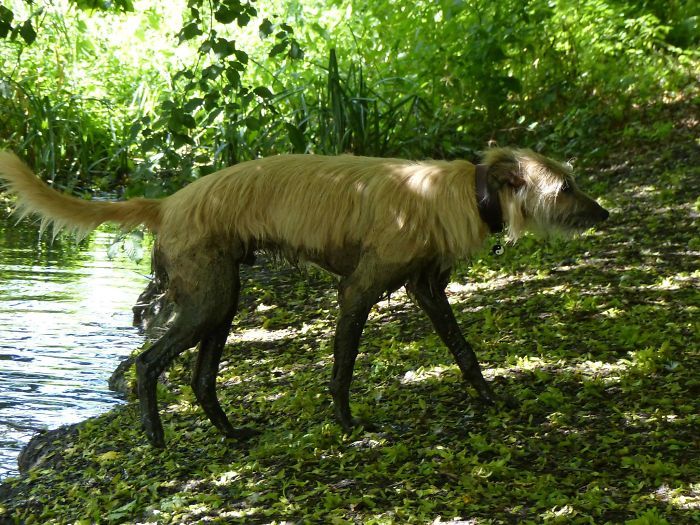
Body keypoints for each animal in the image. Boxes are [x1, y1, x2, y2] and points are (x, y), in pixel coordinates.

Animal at [0, 148, 608, 446]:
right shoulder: (358, 290)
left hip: (222, 301)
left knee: (200, 380)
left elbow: (465, 352)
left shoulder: (428, 291)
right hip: (206, 302)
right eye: (567, 187)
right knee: (148, 365)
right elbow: (342, 369)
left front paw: (491, 398)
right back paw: (155, 438)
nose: (606, 214)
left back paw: (232, 435)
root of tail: (170, 200)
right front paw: (347, 426)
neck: (460, 192)